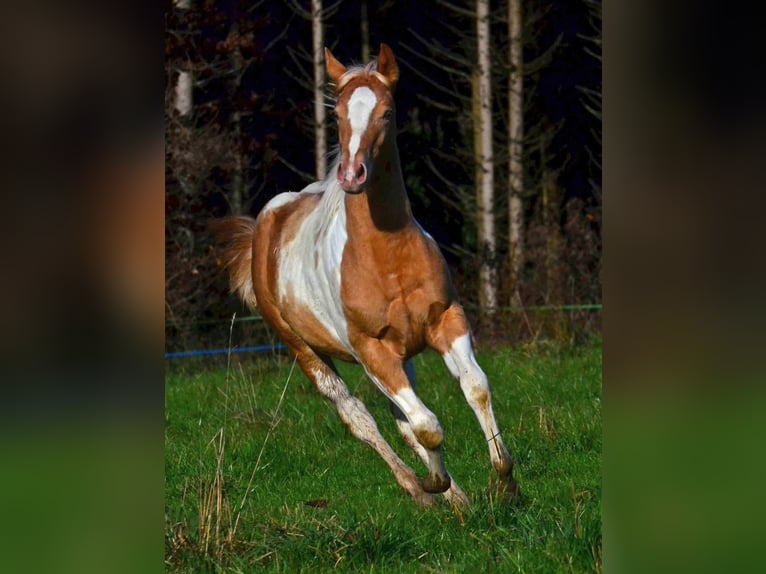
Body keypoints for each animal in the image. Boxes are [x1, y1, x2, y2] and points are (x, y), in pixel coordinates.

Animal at [213, 44, 518, 507]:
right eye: (336, 113)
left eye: (387, 112)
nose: (352, 174)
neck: (386, 257)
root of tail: (265, 225)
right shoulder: (371, 350)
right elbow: (426, 424)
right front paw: (434, 484)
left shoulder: (447, 321)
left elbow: (474, 388)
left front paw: (503, 480)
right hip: (305, 351)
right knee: (359, 417)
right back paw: (420, 489)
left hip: (401, 355)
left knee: (401, 418)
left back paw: (456, 498)